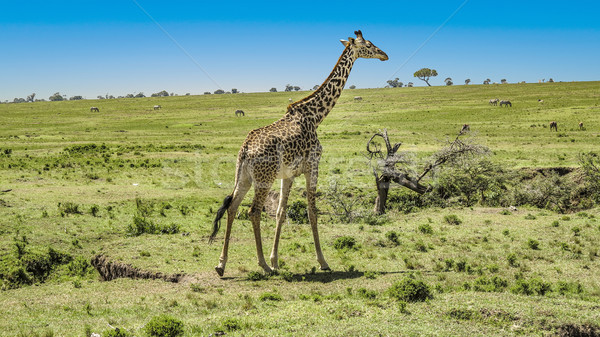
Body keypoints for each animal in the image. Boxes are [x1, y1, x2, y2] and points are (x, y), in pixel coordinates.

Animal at [210, 30, 390, 276]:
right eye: (369, 45)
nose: (385, 55)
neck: (316, 116)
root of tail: (245, 149)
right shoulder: (312, 166)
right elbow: (312, 212)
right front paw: (322, 261)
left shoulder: (288, 174)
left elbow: (281, 212)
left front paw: (276, 260)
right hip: (264, 179)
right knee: (253, 212)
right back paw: (262, 265)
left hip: (245, 177)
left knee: (232, 207)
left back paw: (221, 264)